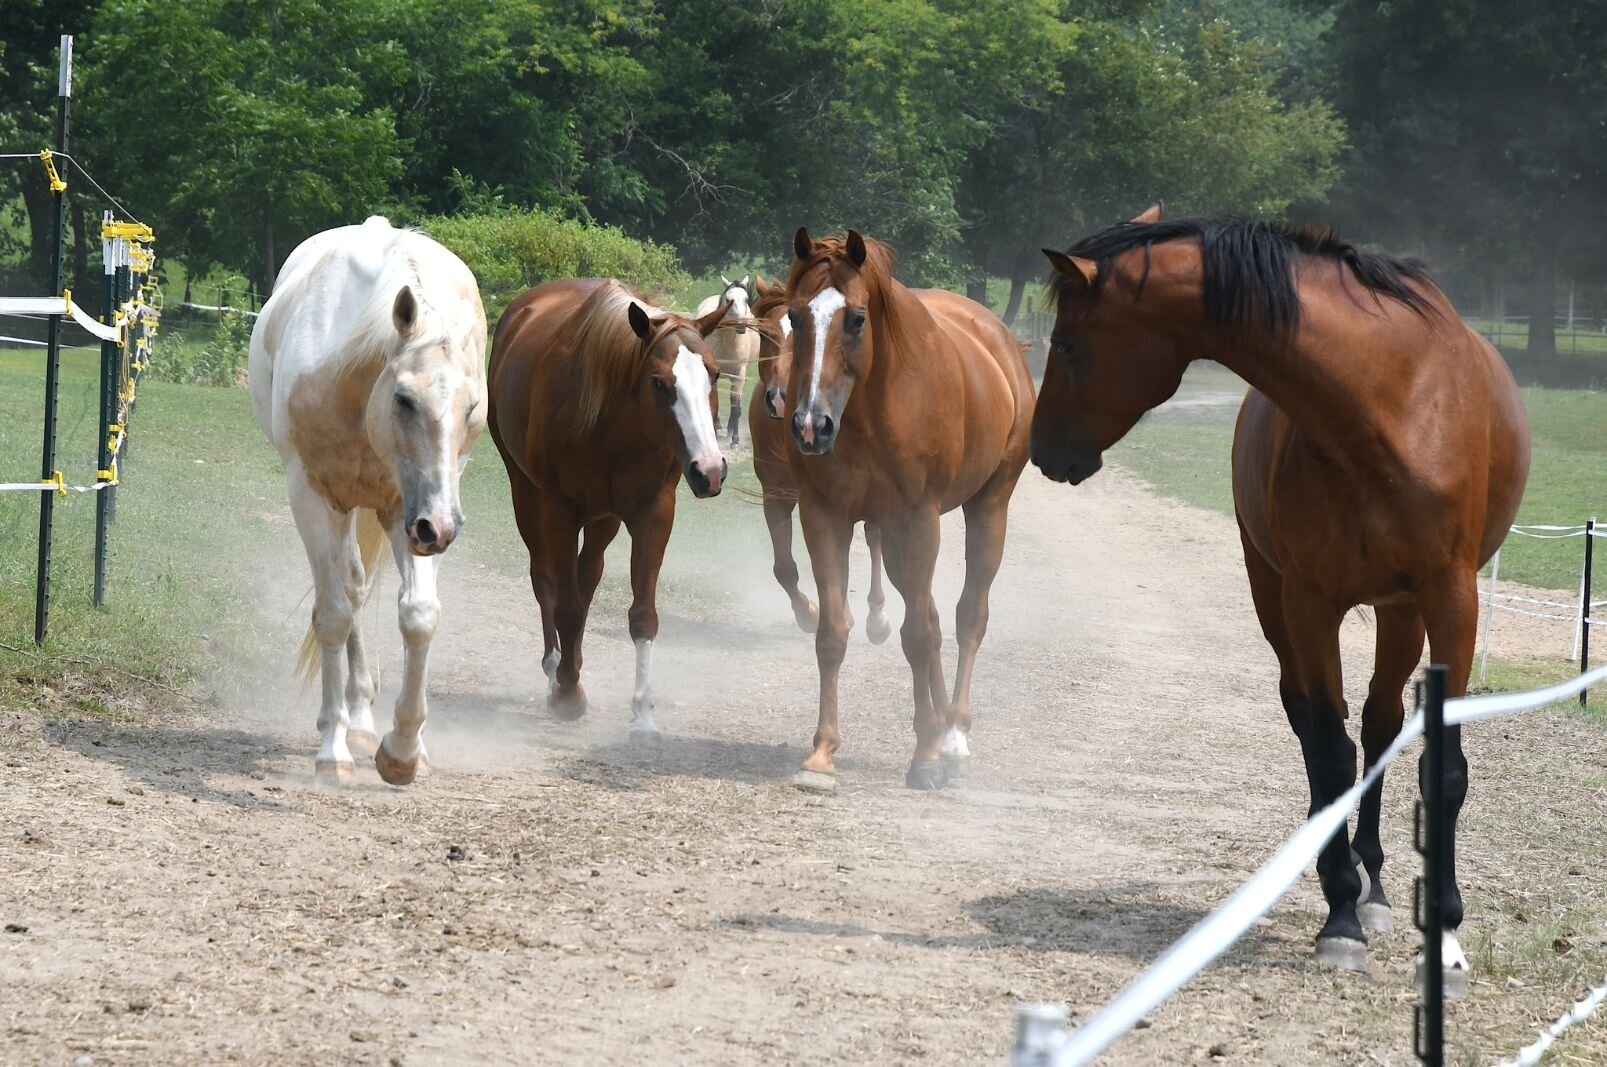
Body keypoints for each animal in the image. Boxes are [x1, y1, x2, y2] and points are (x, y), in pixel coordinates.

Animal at [247, 215, 485, 784]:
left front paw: (403, 751)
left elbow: (419, 615)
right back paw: (352, 724)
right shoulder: (313, 498)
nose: (442, 527)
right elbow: (334, 614)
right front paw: (332, 752)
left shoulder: (407, 511)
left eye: (471, 407)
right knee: (351, 592)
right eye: (404, 398)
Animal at [485, 279, 732, 739]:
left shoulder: (654, 514)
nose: (709, 470)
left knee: (586, 579)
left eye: (715, 374)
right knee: (547, 582)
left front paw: (644, 714)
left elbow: (641, 615)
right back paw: (555, 670)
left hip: (605, 520)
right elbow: (563, 605)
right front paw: (567, 694)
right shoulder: (558, 511)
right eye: (658, 383)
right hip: (526, 495)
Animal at [697, 276, 758, 446]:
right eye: (729, 300)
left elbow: (736, 407)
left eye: (746, 299)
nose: (741, 326)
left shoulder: (739, 375)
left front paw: (735, 441)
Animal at [784, 226, 1034, 790]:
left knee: (967, 616)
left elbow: (918, 638)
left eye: (857, 318)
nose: (811, 426)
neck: (873, 410)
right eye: (794, 315)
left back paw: (954, 735)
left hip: (986, 509)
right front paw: (822, 754)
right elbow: (833, 633)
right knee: (936, 619)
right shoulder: (824, 518)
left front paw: (924, 759)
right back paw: (941, 730)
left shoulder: (919, 522)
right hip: (895, 541)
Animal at [1028, 205, 1529, 989]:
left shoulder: (1450, 599)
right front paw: (1339, 918)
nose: (1042, 449)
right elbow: (1327, 750)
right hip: (1276, 599)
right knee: (1315, 725)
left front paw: (1443, 936)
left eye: (1070, 344)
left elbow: (1440, 767)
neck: (1387, 403)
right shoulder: (1309, 602)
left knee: (1382, 723)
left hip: (1400, 611)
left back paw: (1375, 885)